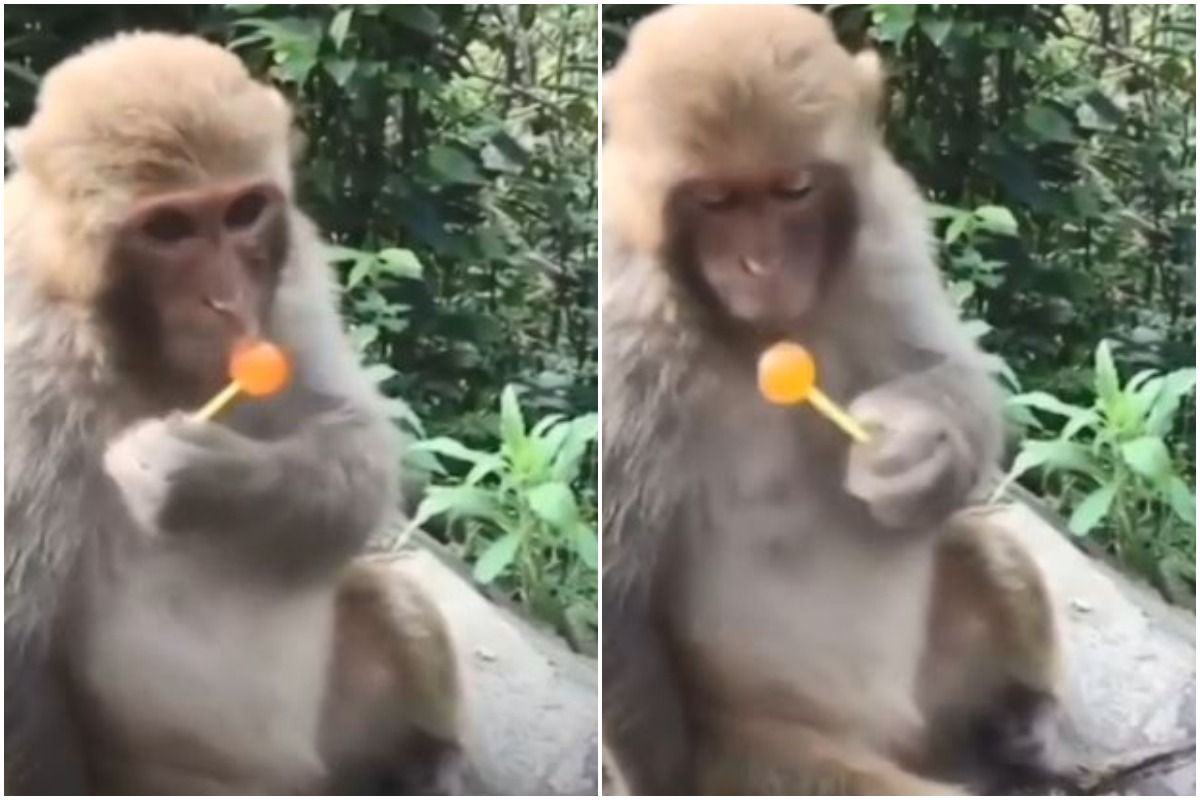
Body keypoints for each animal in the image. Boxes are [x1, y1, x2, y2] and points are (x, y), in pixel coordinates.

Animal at [4, 32, 463, 794]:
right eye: (168, 228)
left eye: (244, 211)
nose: (226, 300)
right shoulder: (22, 365)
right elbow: (21, 648)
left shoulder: (294, 283)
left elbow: (357, 436)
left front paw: (198, 479)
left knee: (385, 599)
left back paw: (425, 758)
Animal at [600, 6, 1062, 795]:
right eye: (715, 201)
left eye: (794, 189)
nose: (761, 263)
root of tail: (897, 737)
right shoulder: (626, 322)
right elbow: (619, 590)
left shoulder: (884, 221)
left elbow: (949, 366)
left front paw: (915, 450)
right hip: (776, 751)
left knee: (975, 541)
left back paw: (1027, 719)